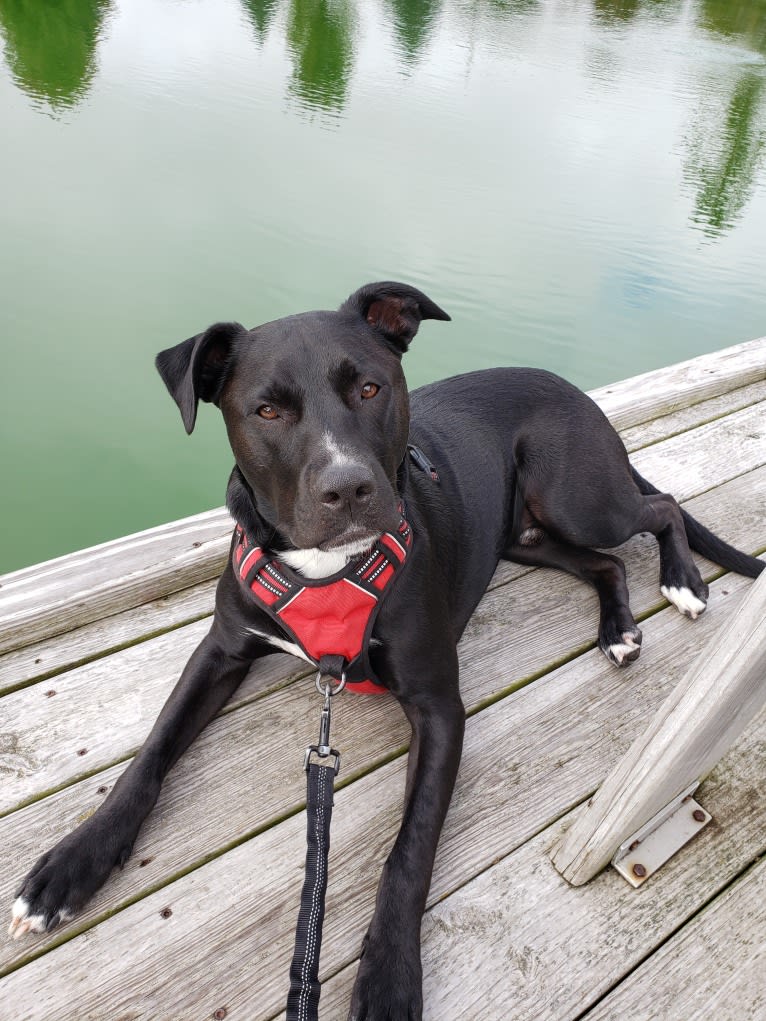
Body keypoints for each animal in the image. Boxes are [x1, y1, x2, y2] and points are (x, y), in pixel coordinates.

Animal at [9, 281, 763, 1021]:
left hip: (579, 497)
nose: (348, 489)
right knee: (607, 562)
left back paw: (682, 580)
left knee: (663, 506)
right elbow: (149, 757)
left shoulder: (438, 709)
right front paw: (70, 865)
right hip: (521, 535)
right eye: (267, 409)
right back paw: (618, 628)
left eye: (370, 388)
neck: (325, 570)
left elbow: (410, 850)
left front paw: (390, 976)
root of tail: (568, 386)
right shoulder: (221, 650)